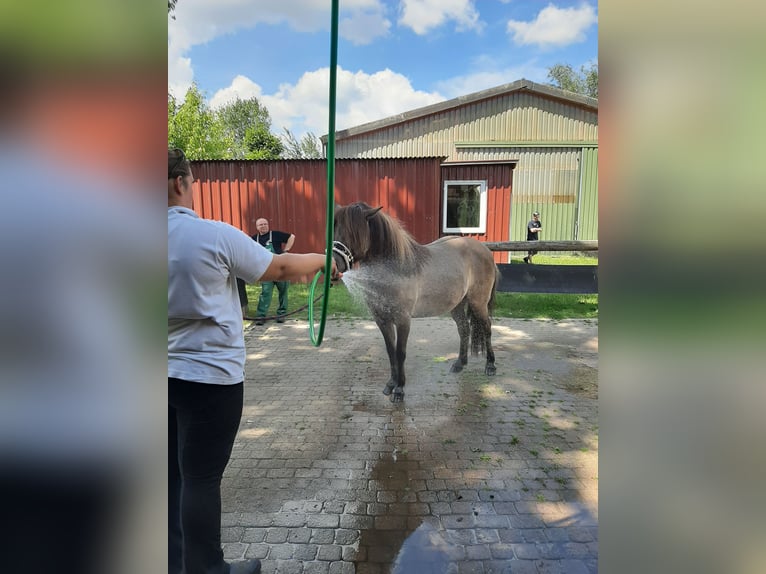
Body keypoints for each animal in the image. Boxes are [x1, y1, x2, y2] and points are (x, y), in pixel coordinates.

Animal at [332, 202, 500, 404]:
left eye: (353, 232)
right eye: (335, 228)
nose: (333, 265)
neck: (396, 268)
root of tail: (485, 250)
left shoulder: (403, 320)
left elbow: (400, 352)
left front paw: (399, 389)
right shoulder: (382, 320)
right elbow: (390, 351)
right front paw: (391, 384)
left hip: (478, 303)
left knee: (487, 328)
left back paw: (490, 365)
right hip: (457, 305)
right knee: (464, 329)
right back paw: (460, 363)